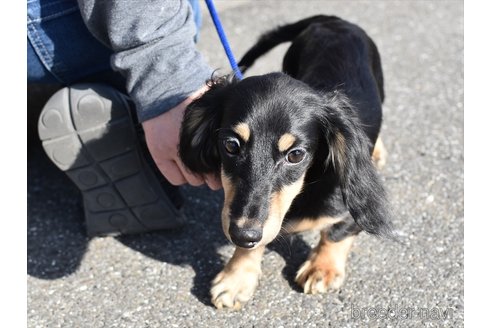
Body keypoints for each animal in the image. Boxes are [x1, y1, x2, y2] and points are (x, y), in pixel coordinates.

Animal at [179, 14, 394, 308]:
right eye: (231, 145)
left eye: (295, 155)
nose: (242, 234)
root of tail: (334, 20)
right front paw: (236, 278)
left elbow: (337, 232)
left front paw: (322, 268)